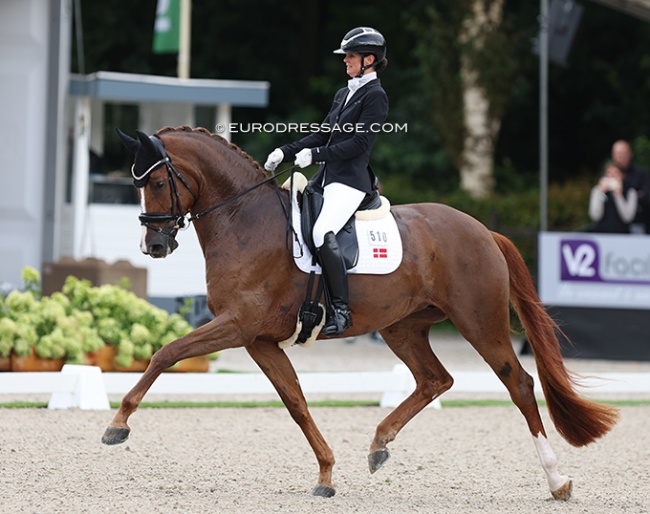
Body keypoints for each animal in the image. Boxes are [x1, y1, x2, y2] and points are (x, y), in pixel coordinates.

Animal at [102, 126, 616, 498]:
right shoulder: (258, 339)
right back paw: (379, 445)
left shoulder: (237, 326)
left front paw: (117, 425)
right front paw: (327, 475)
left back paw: (557, 481)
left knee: (520, 385)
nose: (154, 246)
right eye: (137, 183)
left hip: (479, 321)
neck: (244, 220)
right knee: (436, 380)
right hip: (402, 328)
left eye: (157, 182)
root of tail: (483, 230)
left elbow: (166, 353)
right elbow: (296, 402)